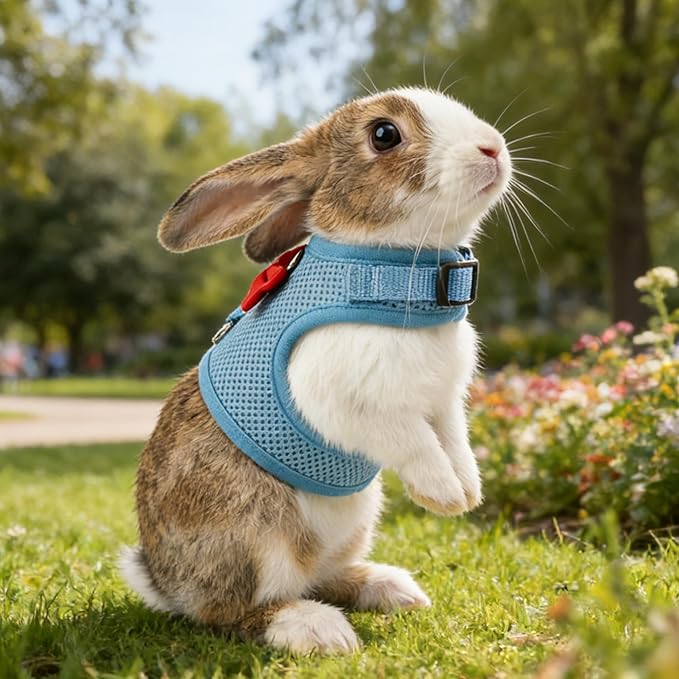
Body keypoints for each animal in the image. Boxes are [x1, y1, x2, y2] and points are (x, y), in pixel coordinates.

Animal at [120, 87, 512, 654]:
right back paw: (316, 628)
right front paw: (442, 496)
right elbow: (413, 441)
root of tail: (165, 581)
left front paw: (467, 493)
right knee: (233, 612)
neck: (388, 270)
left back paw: (391, 588)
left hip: (355, 519)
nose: (492, 148)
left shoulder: (444, 405)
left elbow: (454, 443)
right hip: (255, 537)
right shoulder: (349, 404)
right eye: (384, 134)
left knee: (324, 577)